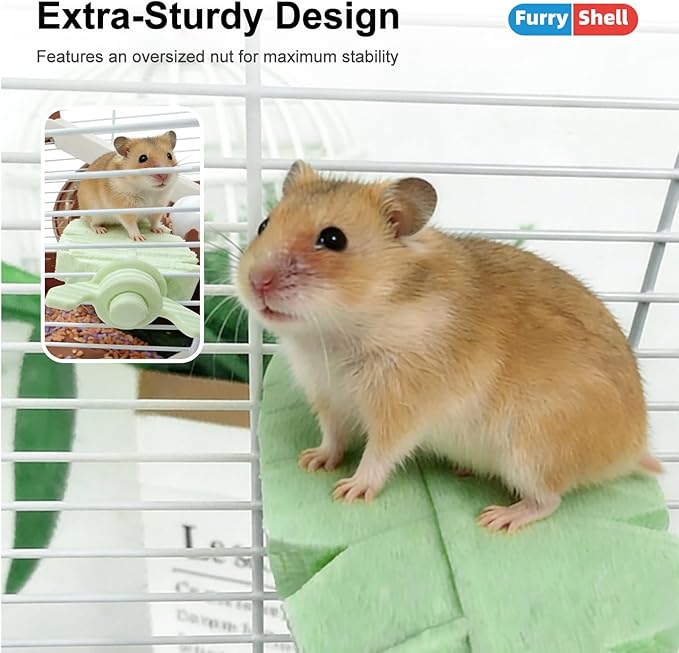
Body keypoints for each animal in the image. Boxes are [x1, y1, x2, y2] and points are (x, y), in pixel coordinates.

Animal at [237, 161, 660, 533]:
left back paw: (499, 519)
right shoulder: (328, 397)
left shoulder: (401, 408)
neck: (336, 333)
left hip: (531, 452)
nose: (257, 282)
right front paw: (312, 461)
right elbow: (333, 435)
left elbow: (380, 453)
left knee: (548, 500)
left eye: (333, 238)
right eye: (263, 224)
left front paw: (349, 490)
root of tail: (635, 446)